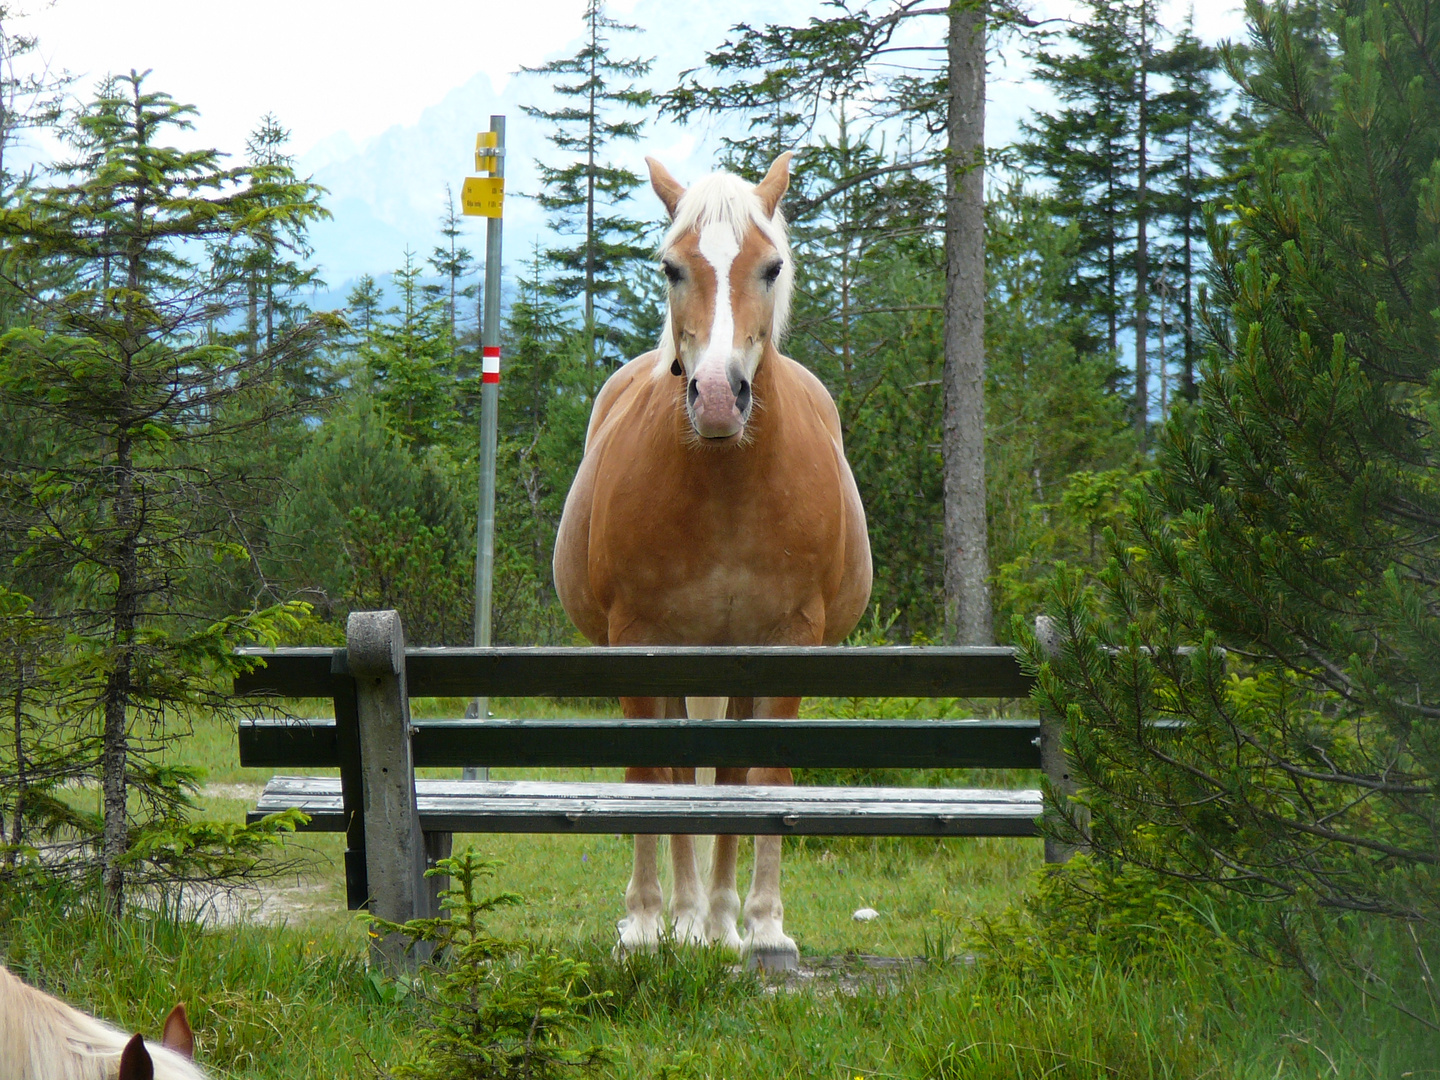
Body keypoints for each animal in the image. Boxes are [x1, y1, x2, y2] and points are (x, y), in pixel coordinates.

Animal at [547, 150, 864, 973]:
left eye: (771, 266)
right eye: (671, 267)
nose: (719, 397)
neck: (726, 489)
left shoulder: (785, 646)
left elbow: (761, 779)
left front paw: (759, 925)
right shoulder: (642, 644)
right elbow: (655, 778)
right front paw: (656, 923)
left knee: (722, 773)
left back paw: (721, 921)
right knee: (673, 772)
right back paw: (677, 918)